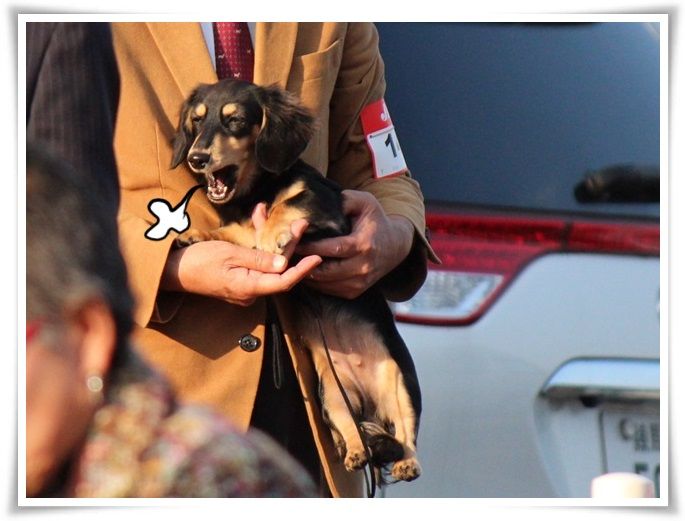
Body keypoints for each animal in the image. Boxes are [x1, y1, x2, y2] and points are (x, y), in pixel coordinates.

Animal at [170, 78, 421, 483]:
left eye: (235, 120)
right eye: (196, 120)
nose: (197, 158)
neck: (258, 191)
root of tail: (369, 402)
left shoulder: (327, 208)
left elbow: (290, 204)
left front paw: (275, 233)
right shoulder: (241, 228)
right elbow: (230, 232)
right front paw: (196, 236)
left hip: (400, 383)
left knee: (406, 431)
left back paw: (407, 462)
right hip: (332, 396)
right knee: (353, 429)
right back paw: (355, 451)